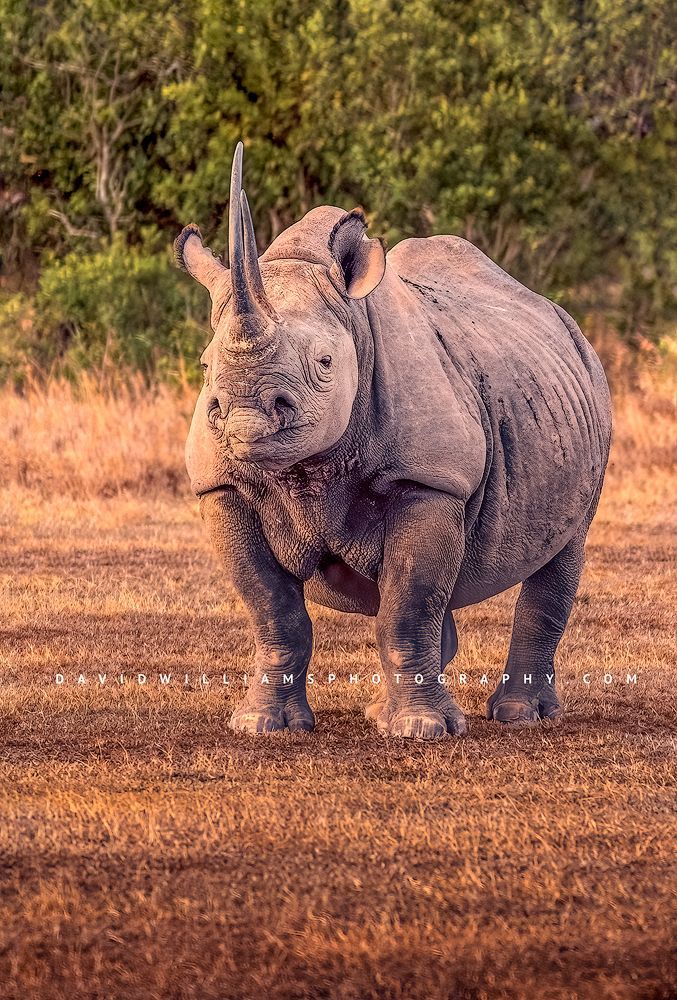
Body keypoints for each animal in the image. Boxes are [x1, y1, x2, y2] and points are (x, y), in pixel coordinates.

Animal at [174, 143, 612, 739]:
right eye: (204, 368)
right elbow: (274, 610)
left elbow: (406, 604)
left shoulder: (430, 480)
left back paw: (519, 716)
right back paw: (382, 712)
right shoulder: (221, 487)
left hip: (592, 387)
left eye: (325, 363)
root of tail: (559, 316)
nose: (245, 419)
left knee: (561, 551)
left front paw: (421, 731)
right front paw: (263, 724)